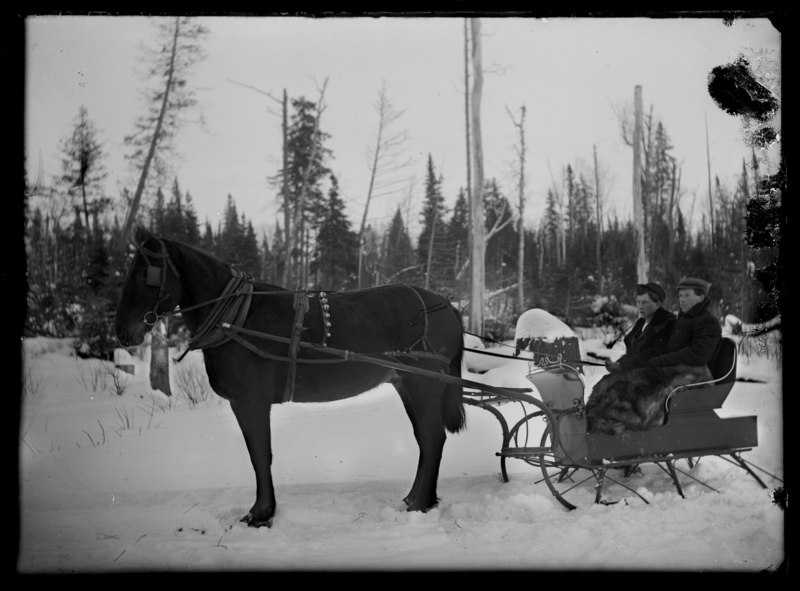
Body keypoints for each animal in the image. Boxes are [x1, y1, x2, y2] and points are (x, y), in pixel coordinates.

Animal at [115, 227, 466, 528]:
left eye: (145, 275)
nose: (122, 332)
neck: (237, 318)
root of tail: (446, 304)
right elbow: (260, 455)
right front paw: (263, 510)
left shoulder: (250, 401)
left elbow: (259, 455)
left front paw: (261, 513)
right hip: (407, 384)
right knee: (425, 440)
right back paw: (415, 499)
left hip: (423, 385)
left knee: (432, 438)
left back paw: (420, 503)